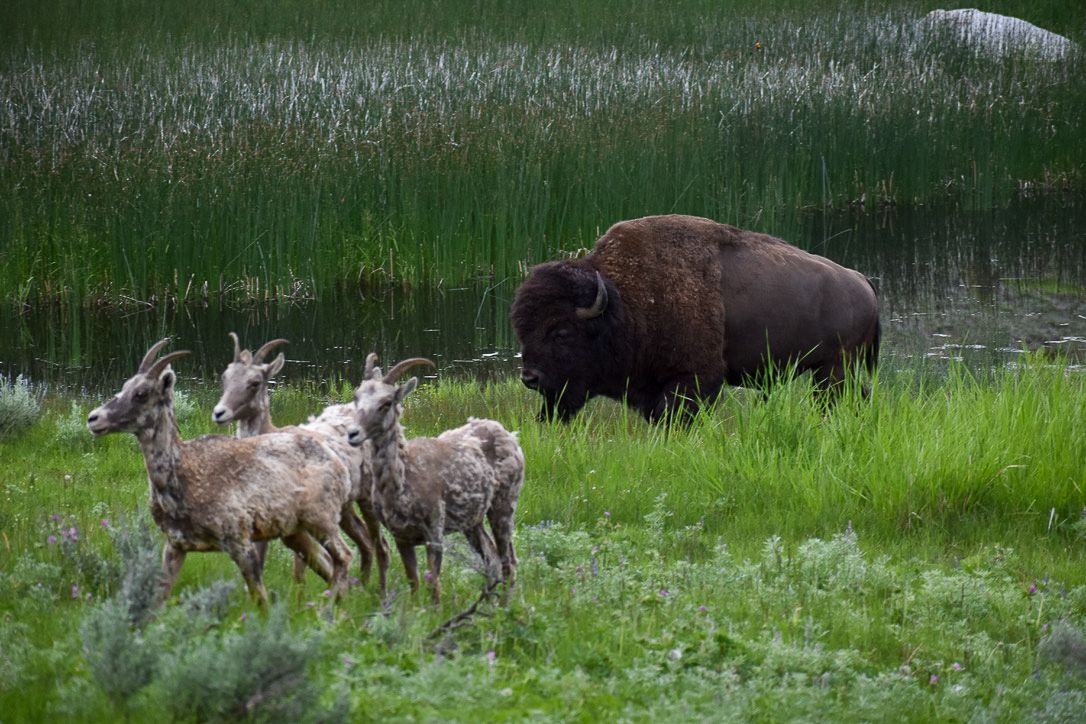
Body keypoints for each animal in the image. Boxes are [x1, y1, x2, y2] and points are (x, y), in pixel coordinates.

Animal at [86, 339, 353, 610]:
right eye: (125, 386)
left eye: (142, 393)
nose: (93, 418)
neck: (182, 478)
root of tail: (338, 463)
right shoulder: (175, 544)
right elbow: (158, 598)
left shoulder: (239, 540)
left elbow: (261, 600)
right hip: (295, 531)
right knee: (325, 562)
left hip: (322, 519)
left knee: (344, 556)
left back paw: (332, 607)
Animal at [212, 333, 390, 593]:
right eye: (226, 377)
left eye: (255, 382)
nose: (219, 412)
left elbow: (300, 567)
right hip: (344, 509)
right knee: (364, 541)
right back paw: (362, 586)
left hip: (366, 497)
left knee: (380, 544)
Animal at [346, 354, 524, 604]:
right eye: (356, 396)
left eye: (386, 402)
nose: (353, 434)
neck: (403, 484)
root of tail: (511, 437)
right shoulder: (401, 536)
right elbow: (413, 581)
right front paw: (415, 610)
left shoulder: (434, 529)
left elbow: (434, 586)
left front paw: (435, 611)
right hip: (473, 520)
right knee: (492, 559)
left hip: (505, 503)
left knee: (509, 561)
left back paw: (504, 606)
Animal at [510, 214, 880, 423]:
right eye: (522, 331)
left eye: (561, 332)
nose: (530, 378)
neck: (625, 300)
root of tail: (862, 282)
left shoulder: (693, 379)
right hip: (832, 371)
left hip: (833, 370)